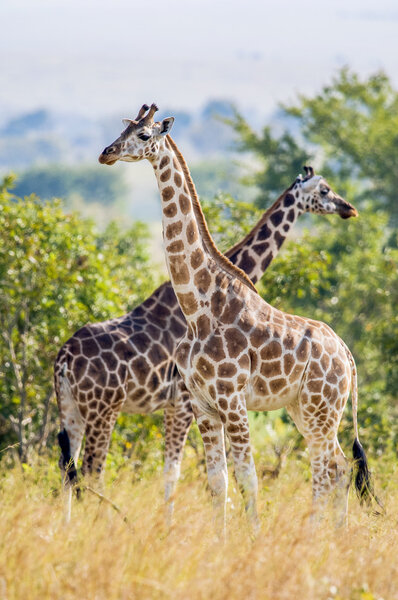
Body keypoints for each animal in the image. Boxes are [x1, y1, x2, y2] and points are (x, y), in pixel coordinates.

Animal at [57, 103, 360, 524]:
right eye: (326, 190)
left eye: (144, 134)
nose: (106, 153)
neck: (198, 306)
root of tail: (347, 354)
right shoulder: (198, 404)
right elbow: (217, 481)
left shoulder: (223, 400)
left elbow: (239, 478)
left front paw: (247, 536)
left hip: (319, 408)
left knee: (330, 469)